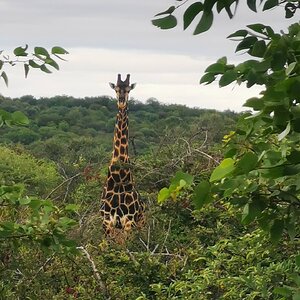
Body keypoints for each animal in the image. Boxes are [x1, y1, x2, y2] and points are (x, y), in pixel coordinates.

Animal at [101, 74, 145, 238]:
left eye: (128, 90)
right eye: (116, 89)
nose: (121, 101)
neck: (118, 175)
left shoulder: (129, 221)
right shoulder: (107, 222)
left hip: (141, 224)